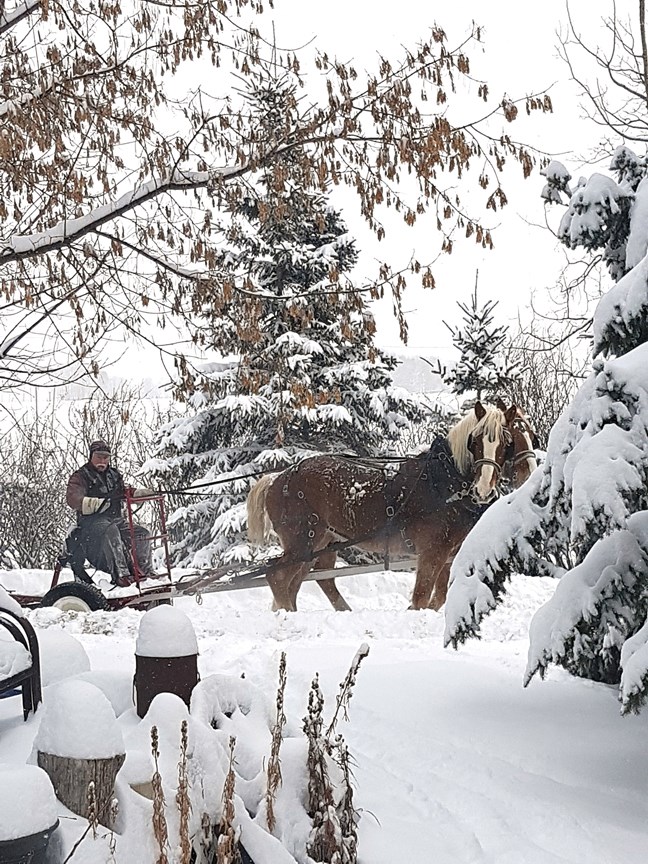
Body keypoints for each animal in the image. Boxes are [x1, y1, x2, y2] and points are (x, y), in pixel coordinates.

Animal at [247, 402, 536, 612]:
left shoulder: (448, 555)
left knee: (305, 581)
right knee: (277, 577)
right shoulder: (431, 553)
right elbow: (420, 598)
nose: (483, 488)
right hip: (301, 541)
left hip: (319, 543)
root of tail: (278, 478)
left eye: (507, 442)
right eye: (475, 441)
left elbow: (437, 600)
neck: (443, 483)